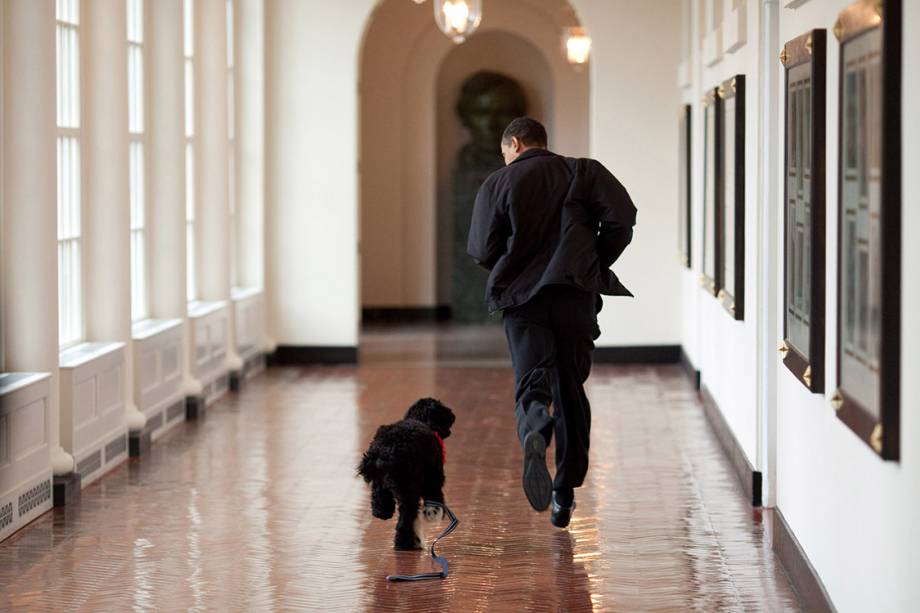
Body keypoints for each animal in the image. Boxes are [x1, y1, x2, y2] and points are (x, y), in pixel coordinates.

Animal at [362, 396, 458, 548]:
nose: (453, 415)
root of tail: (387, 450)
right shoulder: (434, 478)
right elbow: (435, 498)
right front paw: (433, 514)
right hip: (409, 487)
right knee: (406, 516)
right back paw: (404, 543)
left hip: (383, 482)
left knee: (380, 499)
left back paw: (383, 513)